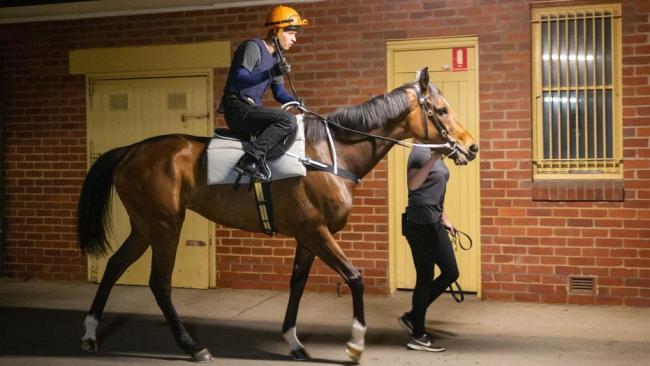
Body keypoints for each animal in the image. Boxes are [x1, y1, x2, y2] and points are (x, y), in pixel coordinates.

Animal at [77, 69, 476, 364]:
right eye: (441, 111)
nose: (470, 147)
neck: (327, 155)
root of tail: (130, 150)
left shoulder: (307, 236)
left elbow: (297, 284)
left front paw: (294, 341)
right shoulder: (316, 232)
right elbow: (355, 277)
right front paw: (355, 344)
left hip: (145, 226)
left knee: (114, 266)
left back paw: (90, 333)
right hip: (165, 226)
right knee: (159, 283)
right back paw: (192, 346)